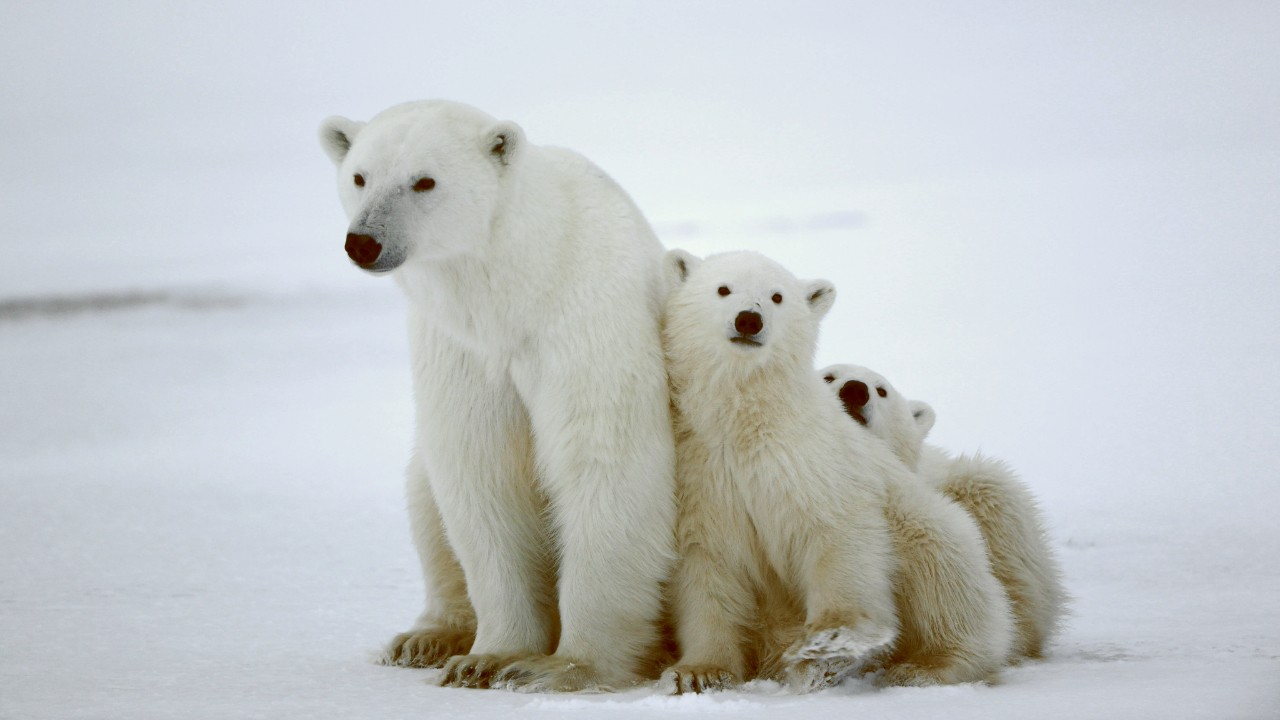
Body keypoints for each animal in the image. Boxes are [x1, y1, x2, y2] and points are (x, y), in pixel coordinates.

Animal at [320, 98, 675, 686]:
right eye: (359, 176)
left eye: (424, 181)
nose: (363, 242)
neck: (519, 286)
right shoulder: (461, 348)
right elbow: (481, 470)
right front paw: (487, 658)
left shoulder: (587, 321)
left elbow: (605, 461)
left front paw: (564, 667)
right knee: (425, 496)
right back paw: (426, 637)